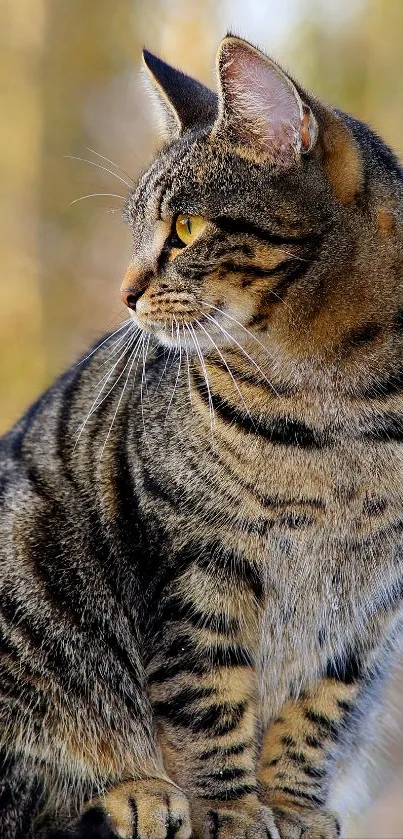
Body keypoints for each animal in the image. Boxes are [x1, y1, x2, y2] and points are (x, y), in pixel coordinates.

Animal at [0, 32, 403, 839]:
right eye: (136, 232)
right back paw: (134, 792)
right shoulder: (199, 558)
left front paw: (290, 804)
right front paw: (231, 808)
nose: (124, 292)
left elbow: (319, 708)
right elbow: (207, 695)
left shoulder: (371, 602)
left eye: (184, 230)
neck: (344, 406)